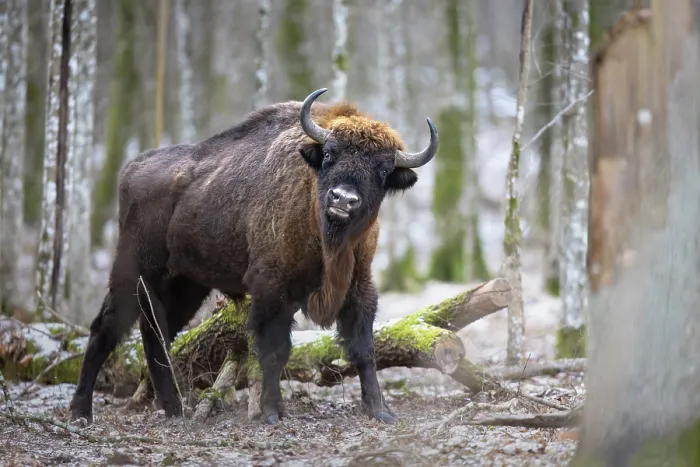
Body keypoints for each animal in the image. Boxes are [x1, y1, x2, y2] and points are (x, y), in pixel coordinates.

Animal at [69, 88, 439, 426]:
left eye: (383, 170)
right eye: (330, 154)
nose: (342, 199)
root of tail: (132, 167)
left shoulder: (359, 288)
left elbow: (363, 349)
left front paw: (380, 410)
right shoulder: (271, 290)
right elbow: (275, 349)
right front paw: (272, 412)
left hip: (186, 284)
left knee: (156, 333)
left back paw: (174, 410)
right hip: (133, 273)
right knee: (106, 328)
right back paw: (81, 413)